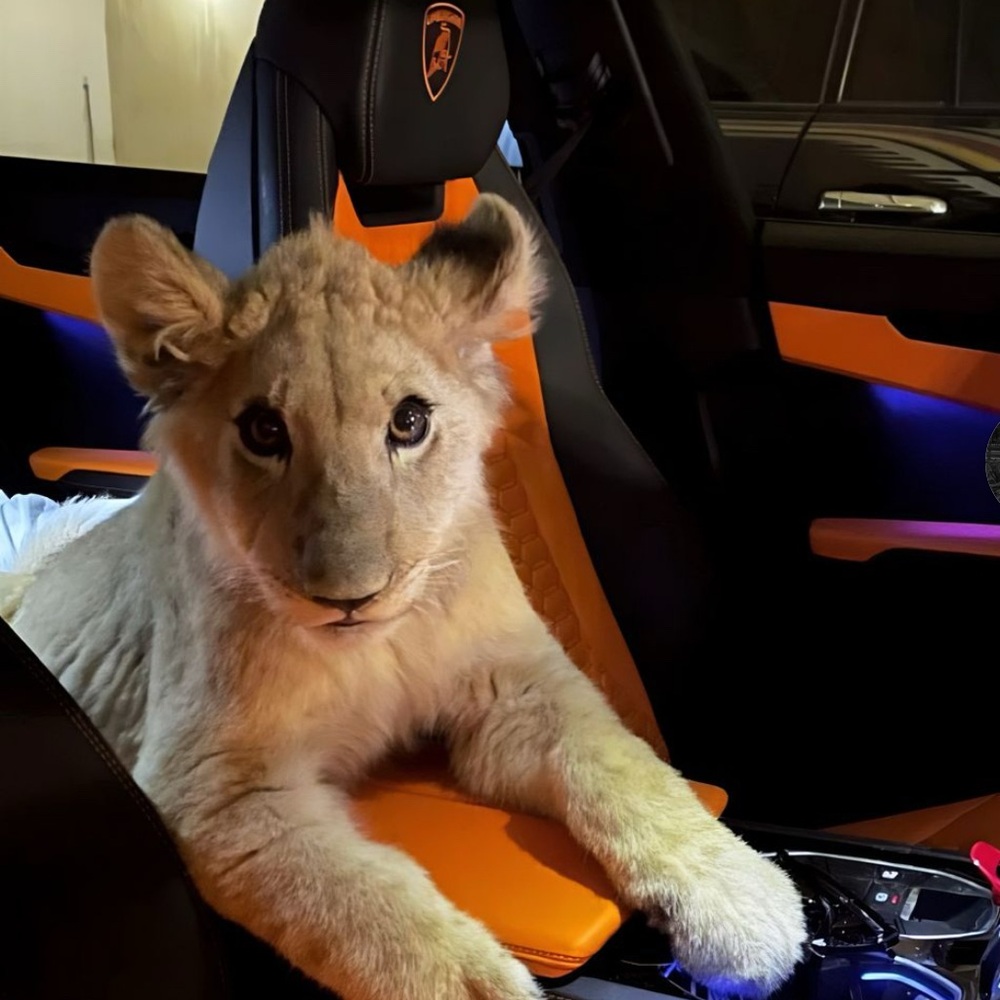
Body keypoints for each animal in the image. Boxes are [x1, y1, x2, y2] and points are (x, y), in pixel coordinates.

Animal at [9, 194, 806, 999]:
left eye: (410, 422)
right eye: (264, 429)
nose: (348, 598)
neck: (380, 646)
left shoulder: (520, 687)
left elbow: (623, 763)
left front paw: (743, 899)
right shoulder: (217, 790)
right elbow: (367, 907)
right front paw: (484, 987)